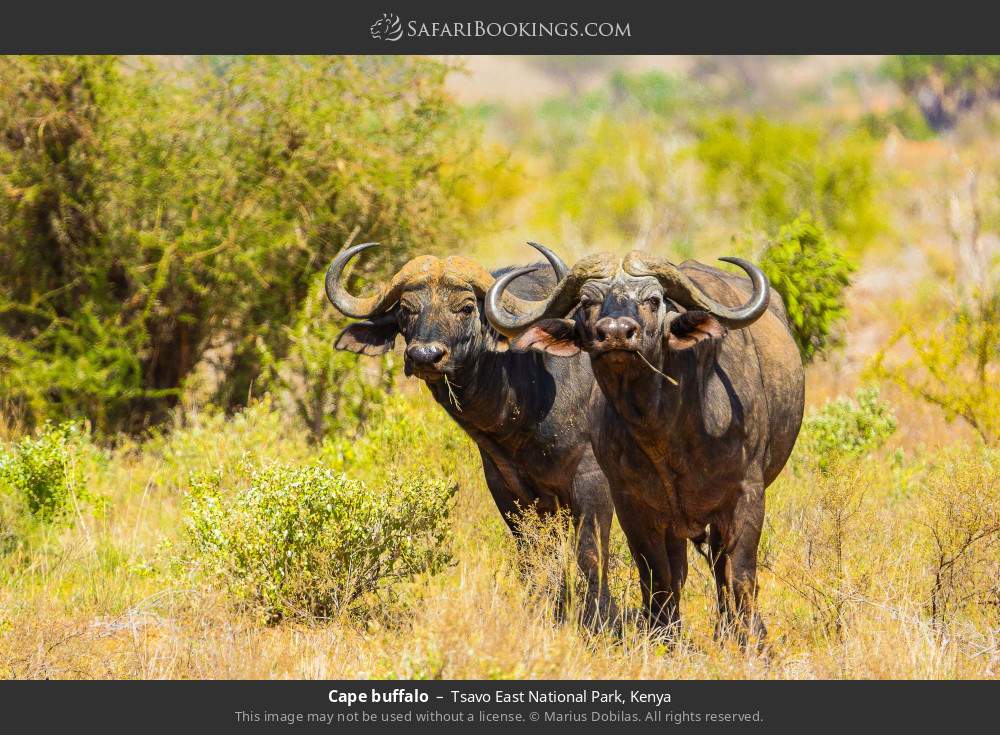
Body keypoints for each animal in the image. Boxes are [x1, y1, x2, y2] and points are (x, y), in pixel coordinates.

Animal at [324, 240, 616, 628]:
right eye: (406, 309)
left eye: (465, 308)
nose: (425, 356)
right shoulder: (509, 491)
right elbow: (534, 558)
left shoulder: (593, 483)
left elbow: (590, 556)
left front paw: (599, 620)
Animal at [484, 252, 804, 644]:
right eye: (587, 302)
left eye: (654, 300)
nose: (616, 333)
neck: (666, 435)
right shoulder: (632, 506)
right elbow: (657, 575)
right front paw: (664, 636)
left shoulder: (747, 495)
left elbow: (741, 574)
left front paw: (752, 639)